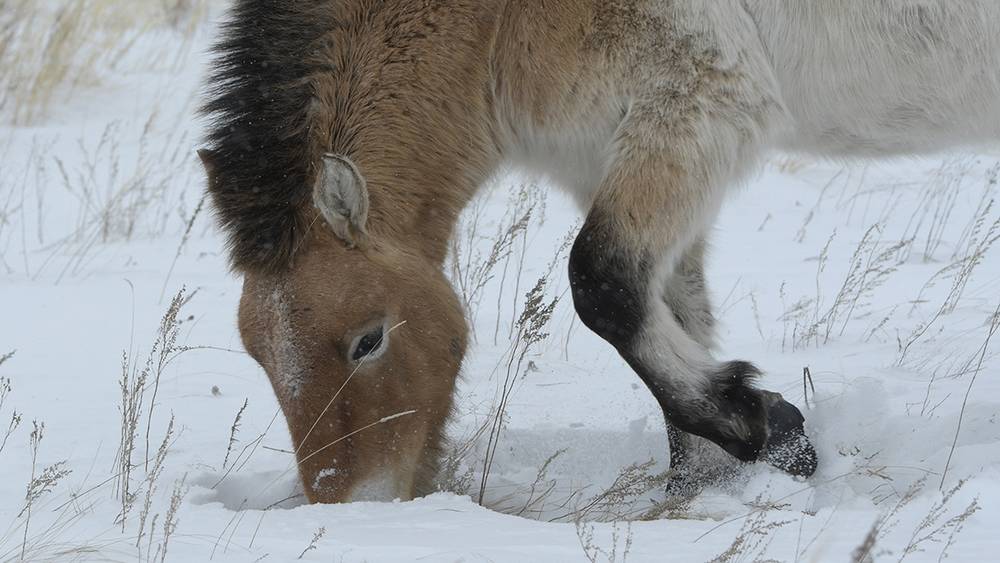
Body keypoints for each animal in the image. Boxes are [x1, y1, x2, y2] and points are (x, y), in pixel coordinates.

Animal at [199, 0, 1000, 502]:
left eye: (368, 339)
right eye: (257, 353)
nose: (351, 504)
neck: (499, 18)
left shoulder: (694, 117)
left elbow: (602, 286)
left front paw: (772, 432)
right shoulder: (613, 158)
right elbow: (672, 313)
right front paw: (702, 482)